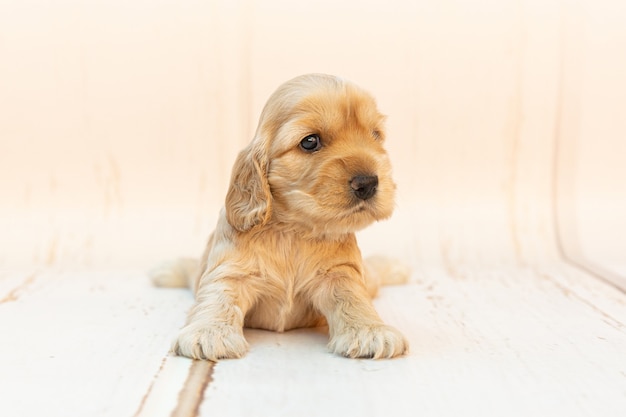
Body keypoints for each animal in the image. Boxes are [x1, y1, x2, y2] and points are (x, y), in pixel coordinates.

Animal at [149, 73, 408, 360]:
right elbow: (219, 296)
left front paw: (369, 330)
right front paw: (209, 332)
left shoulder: (340, 273)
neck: (292, 230)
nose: (368, 183)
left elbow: (353, 298)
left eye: (375, 135)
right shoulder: (229, 270)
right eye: (310, 141)